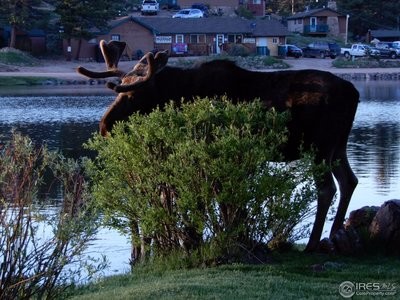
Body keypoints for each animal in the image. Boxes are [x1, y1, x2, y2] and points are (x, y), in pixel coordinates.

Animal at [77, 39, 360, 251]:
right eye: (119, 87)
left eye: (134, 93)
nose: (104, 126)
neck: (179, 96)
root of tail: (355, 93)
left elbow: (213, 198)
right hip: (338, 145)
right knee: (349, 180)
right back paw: (335, 234)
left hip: (321, 146)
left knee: (327, 188)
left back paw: (313, 244)